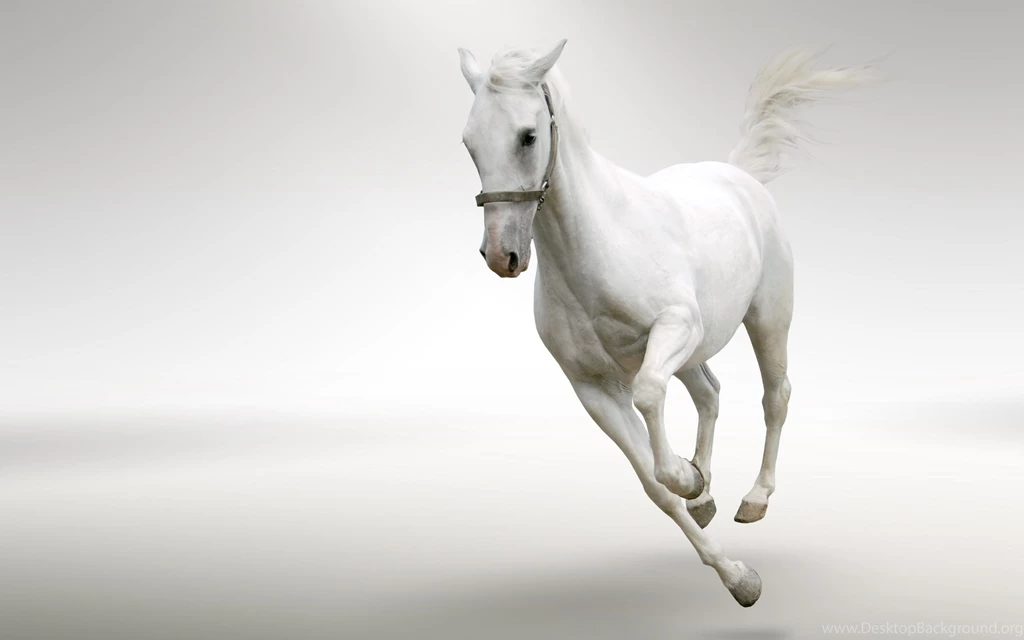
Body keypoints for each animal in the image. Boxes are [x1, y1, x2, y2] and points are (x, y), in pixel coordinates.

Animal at [457, 39, 875, 607]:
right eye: (469, 143)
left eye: (528, 136)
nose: (502, 256)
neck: (599, 244)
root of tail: (738, 175)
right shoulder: (592, 388)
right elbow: (654, 487)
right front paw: (735, 570)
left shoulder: (674, 329)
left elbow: (651, 397)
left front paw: (689, 480)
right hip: (696, 352)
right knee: (711, 393)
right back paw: (708, 493)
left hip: (766, 319)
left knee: (775, 397)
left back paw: (755, 498)